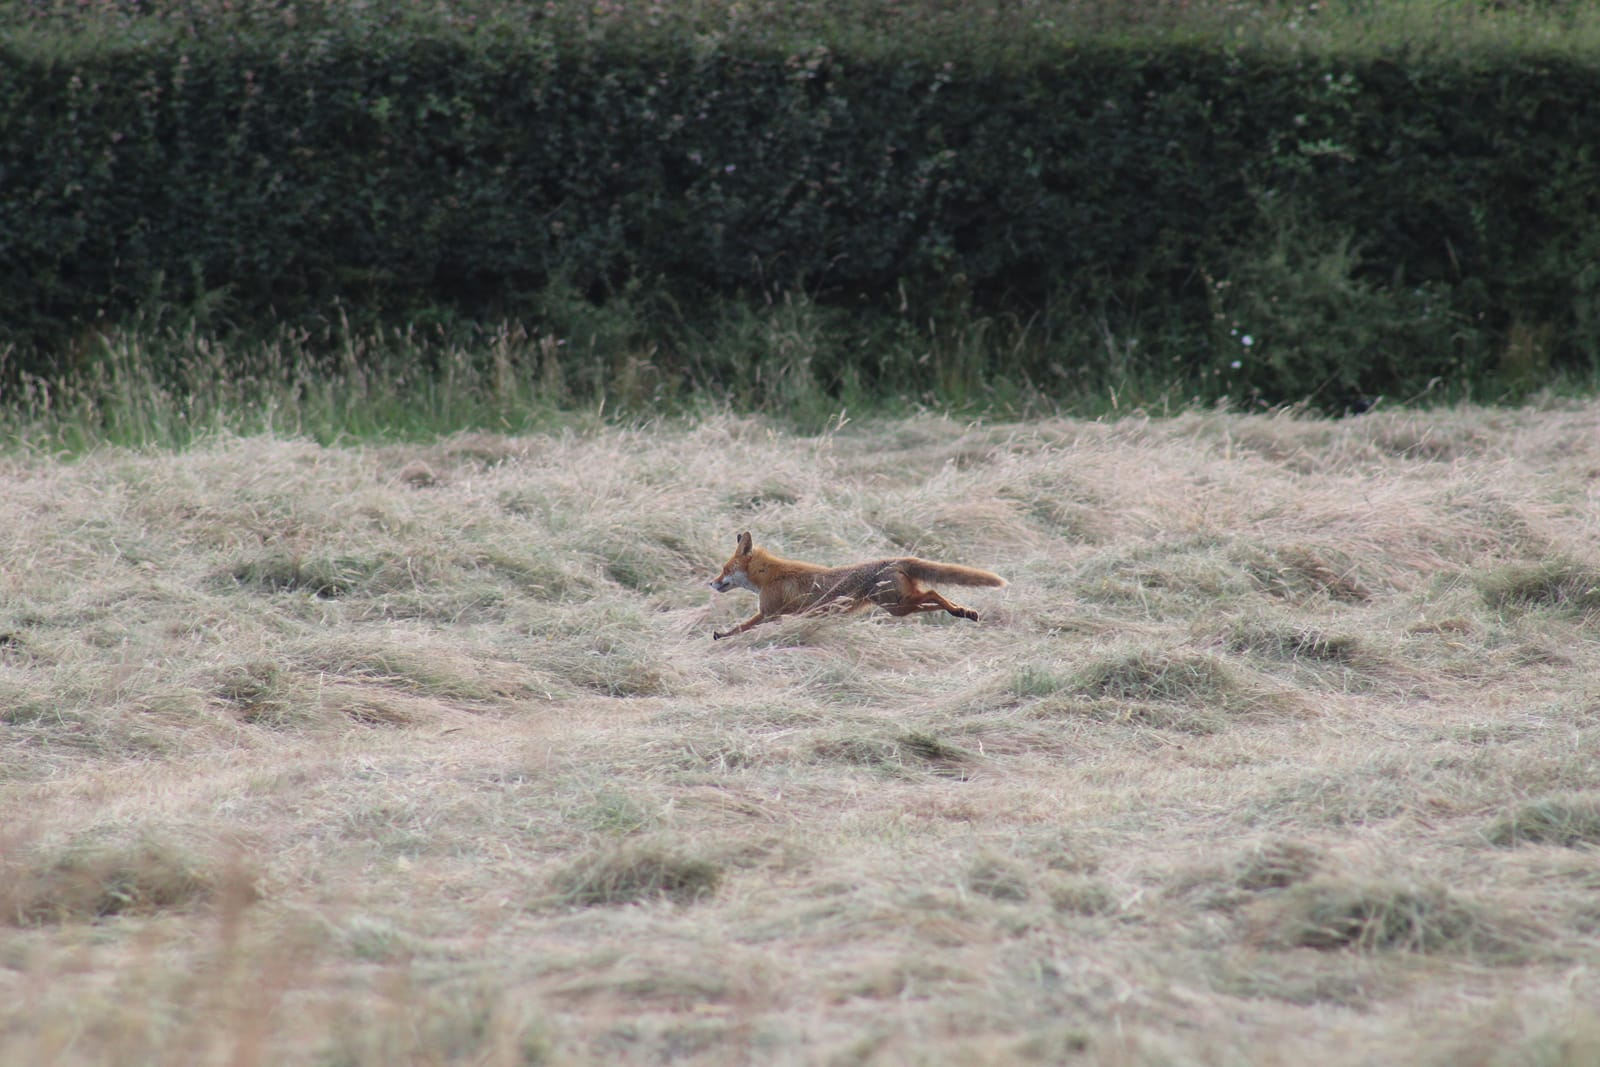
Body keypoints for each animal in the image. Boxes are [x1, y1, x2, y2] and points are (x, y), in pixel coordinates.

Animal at [708, 530, 1006, 640]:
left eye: (724, 569)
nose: (710, 582)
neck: (769, 575)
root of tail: (894, 560)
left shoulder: (768, 613)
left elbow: (741, 627)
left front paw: (722, 635)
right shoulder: (781, 615)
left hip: (896, 604)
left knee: (933, 592)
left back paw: (959, 611)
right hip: (898, 607)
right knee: (932, 598)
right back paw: (963, 612)